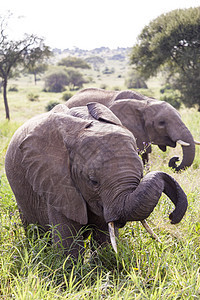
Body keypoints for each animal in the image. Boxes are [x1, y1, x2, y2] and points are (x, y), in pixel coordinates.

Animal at [5, 102, 188, 258]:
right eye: (93, 181)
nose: (172, 217)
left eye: (141, 176)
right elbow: (69, 246)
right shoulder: (56, 184)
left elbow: (103, 236)